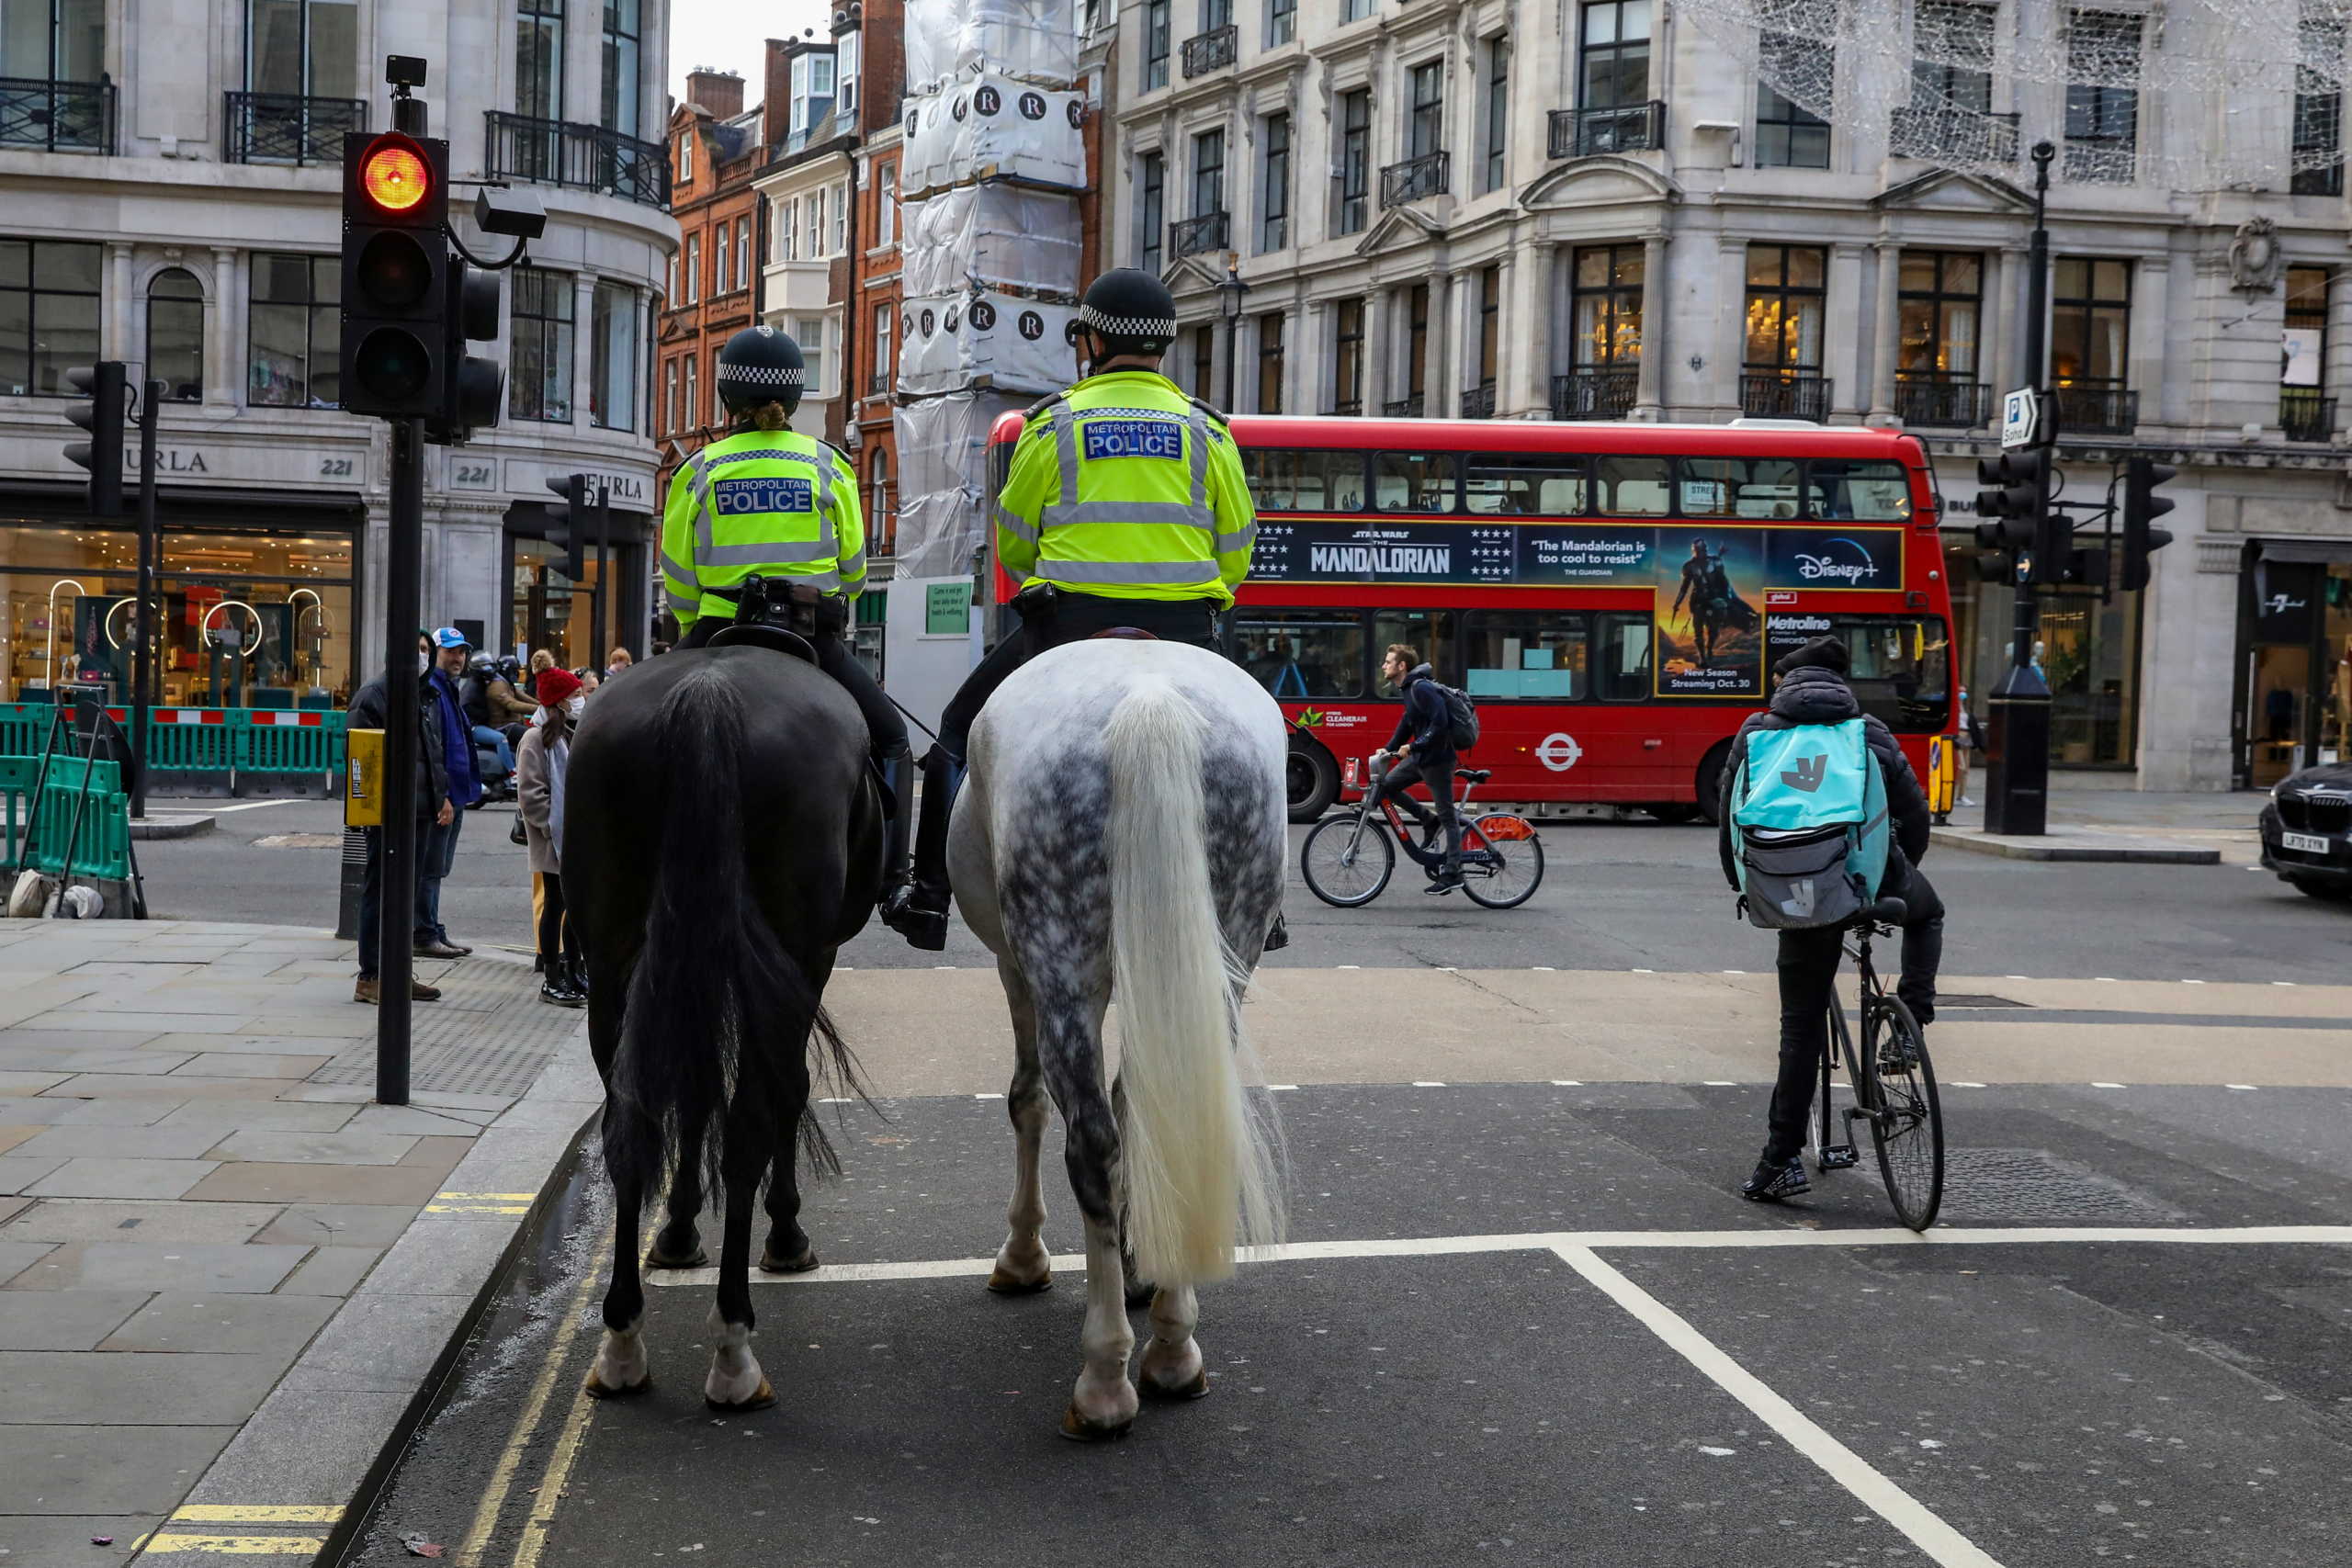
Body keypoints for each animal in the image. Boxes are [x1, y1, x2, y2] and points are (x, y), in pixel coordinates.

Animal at [564, 649, 884, 1410]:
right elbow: (787, 1090)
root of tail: (708, 695)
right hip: (792, 943)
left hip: (613, 959)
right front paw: (787, 1231)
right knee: (747, 1128)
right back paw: (735, 1344)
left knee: (631, 1123)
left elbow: (695, 1089)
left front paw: (677, 1229)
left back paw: (622, 1341)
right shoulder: (807, 965)